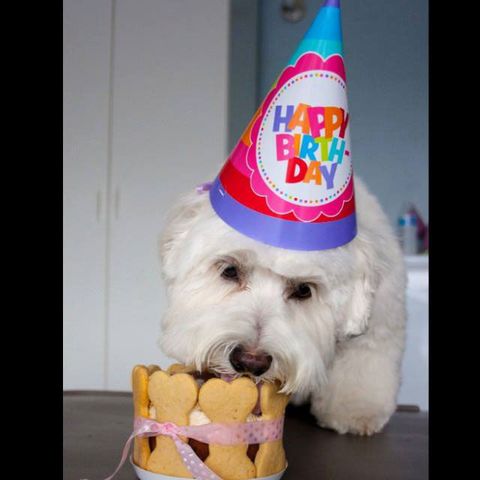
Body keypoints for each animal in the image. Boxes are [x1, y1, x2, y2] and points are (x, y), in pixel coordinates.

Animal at [159, 178, 406, 436]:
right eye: (230, 270)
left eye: (304, 289)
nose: (250, 362)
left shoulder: (378, 329)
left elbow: (363, 363)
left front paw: (355, 412)